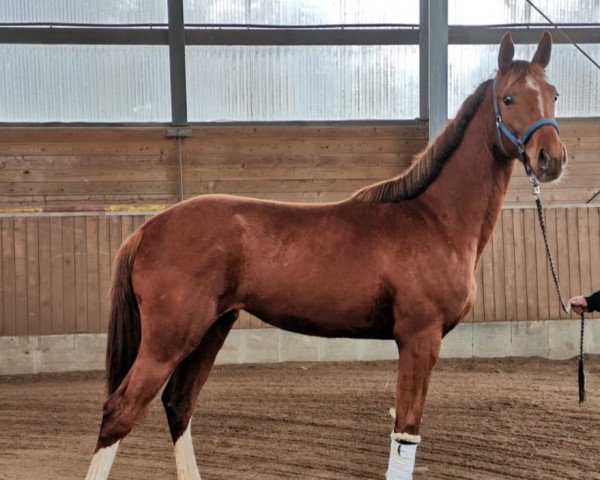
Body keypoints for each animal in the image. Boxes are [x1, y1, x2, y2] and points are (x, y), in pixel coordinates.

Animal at [85, 31, 568, 478]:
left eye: (554, 94)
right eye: (508, 98)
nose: (551, 158)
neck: (434, 219)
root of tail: (147, 229)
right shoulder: (419, 339)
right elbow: (405, 436)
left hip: (210, 331)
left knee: (178, 405)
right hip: (169, 340)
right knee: (120, 412)